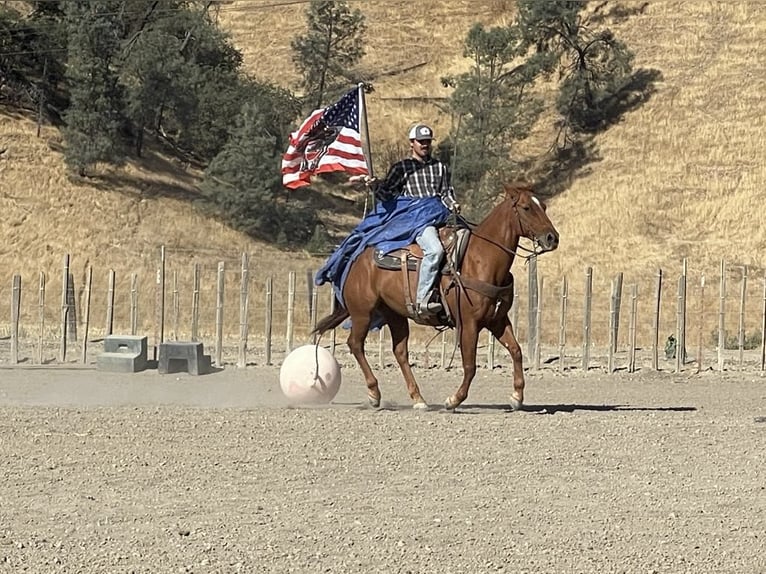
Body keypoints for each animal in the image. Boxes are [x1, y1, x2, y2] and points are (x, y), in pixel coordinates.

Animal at [312, 182, 560, 412]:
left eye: (544, 206)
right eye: (527, 208)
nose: (552, 238)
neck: (481, 260)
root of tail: (355, 259)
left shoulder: (497, 320)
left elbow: (516, 351)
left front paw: (517, 397)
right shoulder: (469, 323)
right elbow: (470, 366)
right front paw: (454, 400)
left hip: (394, 314)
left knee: (400, 352)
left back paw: (418, 399)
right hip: (362, 312)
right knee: (355, 344)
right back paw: (374, 394)